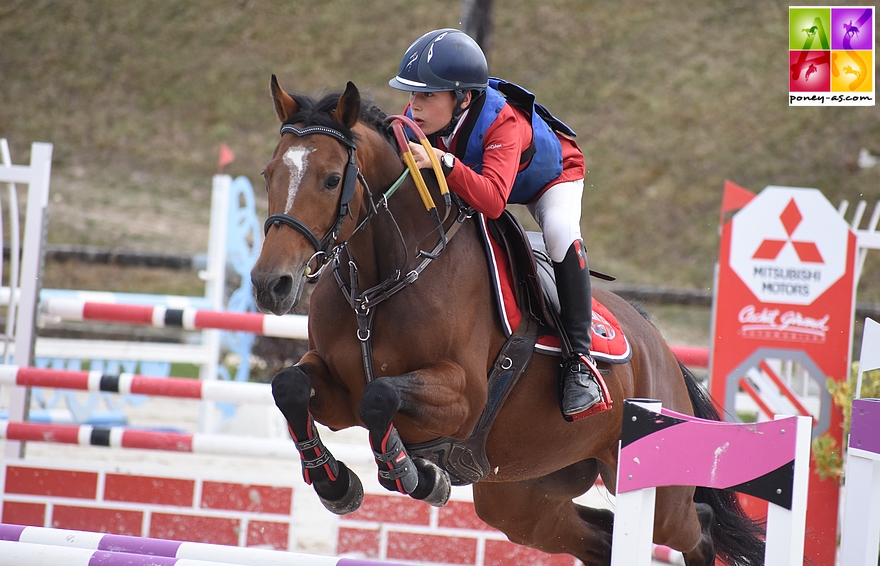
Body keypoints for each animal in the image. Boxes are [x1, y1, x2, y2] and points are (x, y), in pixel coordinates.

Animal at [251, 76, 768, 566]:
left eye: (331, 179)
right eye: (268, 173)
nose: (269, 284)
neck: (380, 284)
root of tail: (661, 350)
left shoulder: (463, 398)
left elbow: (380, 397)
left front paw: (417, 476)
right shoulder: (340, 392)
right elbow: (289, 387)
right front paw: (336, 484)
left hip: (651, 491)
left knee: (698, 527)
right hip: (521, 497)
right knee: (599, 537)